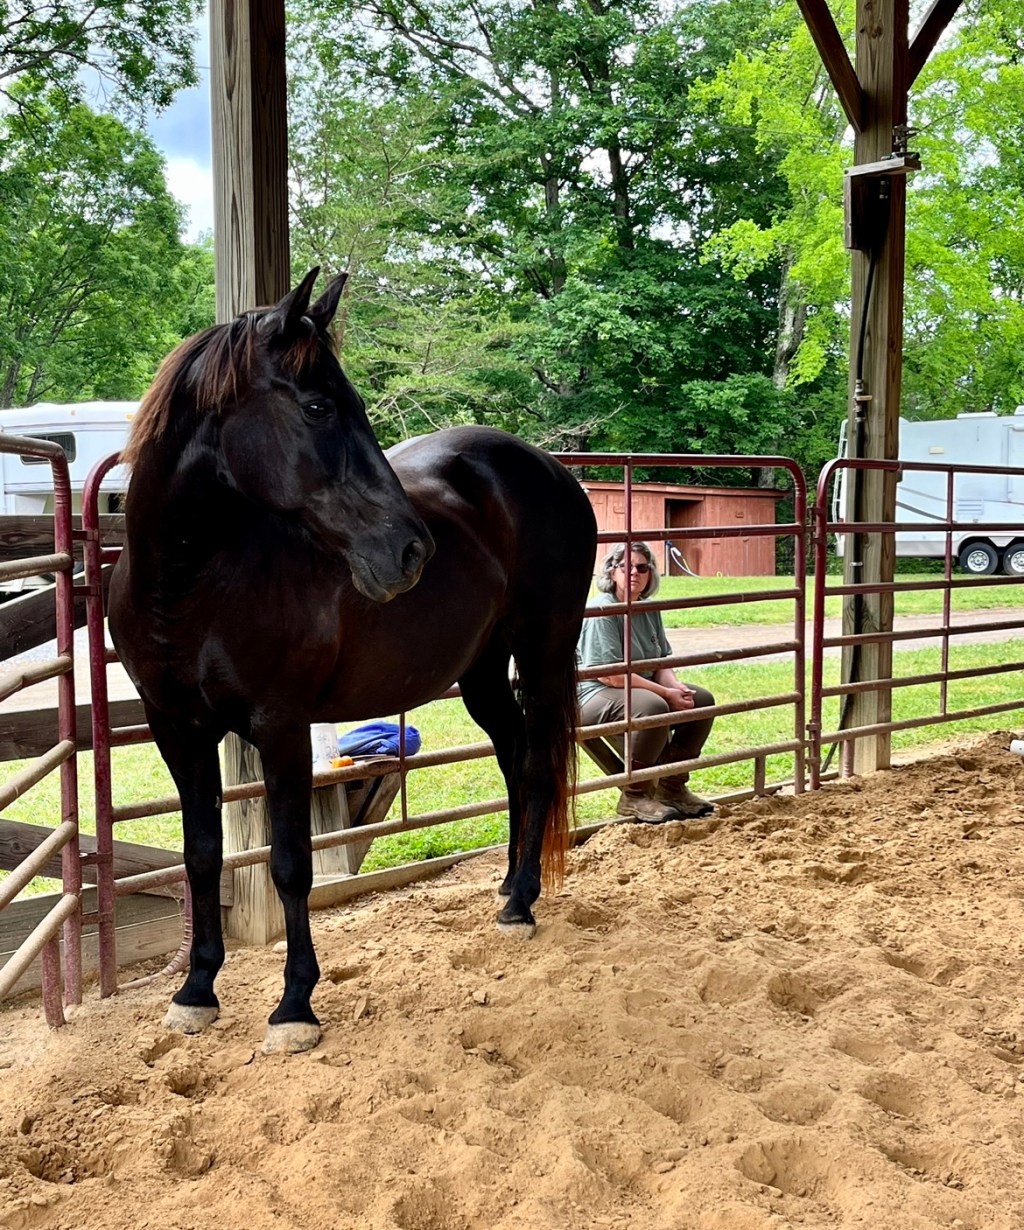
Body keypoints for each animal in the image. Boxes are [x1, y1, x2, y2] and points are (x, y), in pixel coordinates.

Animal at [108, 268, 598, 1054]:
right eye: (317, 406)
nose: (412, 551)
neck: (190, 586)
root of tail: (551, 472)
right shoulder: (175, 729)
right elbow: (202, 855)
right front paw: (196, 991)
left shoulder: (278, 729)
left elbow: (288, 865)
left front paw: (294, 1007)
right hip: (482, 672)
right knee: (517, 760)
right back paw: (507, 891)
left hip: (545, 653)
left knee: (539, 767)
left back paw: (523, 903)